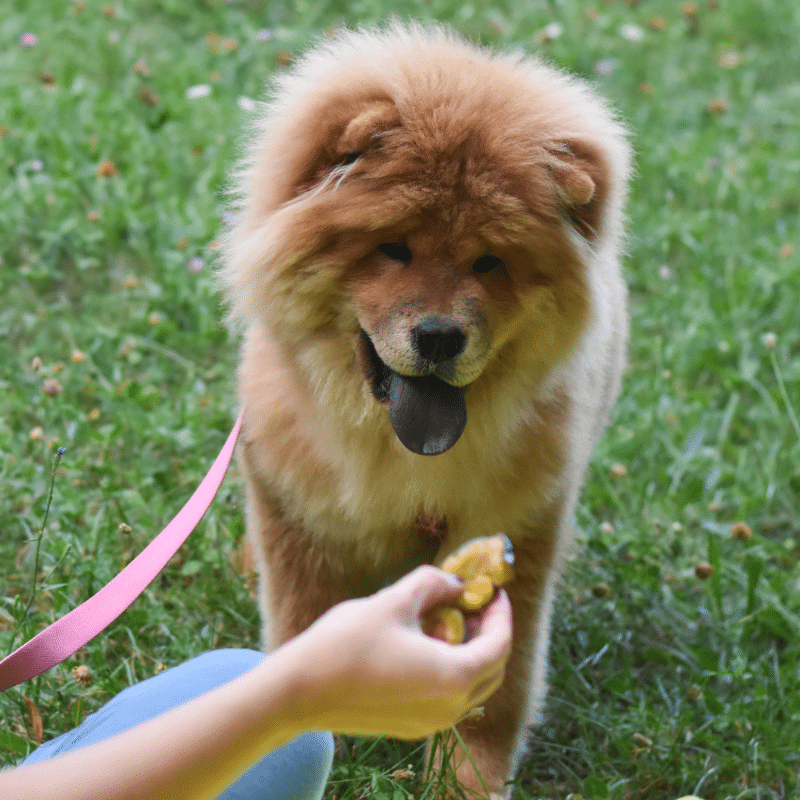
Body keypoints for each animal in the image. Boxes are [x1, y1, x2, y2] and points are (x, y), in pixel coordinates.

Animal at [220, 21, 632, 796]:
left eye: (489, 263)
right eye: (394, 249)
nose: (440, 335)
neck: (393, 447)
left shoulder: (517, 525)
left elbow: (496, 693)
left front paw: (464, 779)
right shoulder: (299, 517)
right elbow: (302, 628)